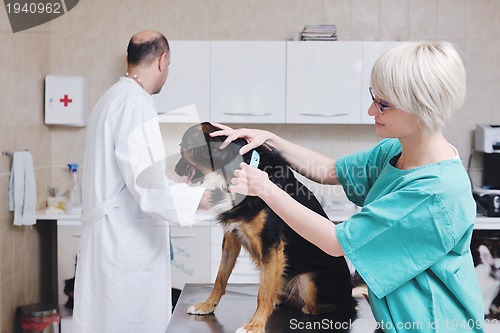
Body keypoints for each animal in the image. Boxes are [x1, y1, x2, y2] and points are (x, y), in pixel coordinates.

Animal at [176, 122, 356, 332]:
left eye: (182, 147)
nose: (175, 170)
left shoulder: (271, 243)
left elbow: (262, 293)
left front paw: (255, 324)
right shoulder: (231, 237)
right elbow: (220, 278)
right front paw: (207, 305)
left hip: (309, 279)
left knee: (341, 305)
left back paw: (309, 306)